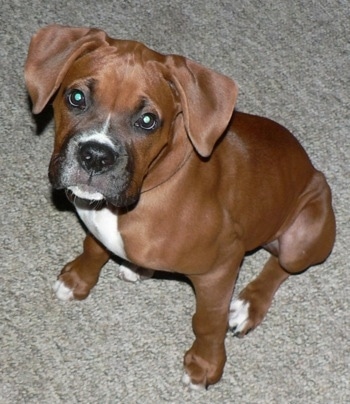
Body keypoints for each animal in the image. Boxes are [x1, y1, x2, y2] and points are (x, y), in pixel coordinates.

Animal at [24, 24, 336, 388]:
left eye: (147, 120)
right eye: (76, 98)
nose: (96, 155)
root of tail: (314, 171)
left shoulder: (222, 267)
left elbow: (208, 320)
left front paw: (205, 364)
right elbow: (94, 246)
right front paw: (78, 279)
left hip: (301, 239)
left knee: (280, 266)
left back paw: (249, 304)